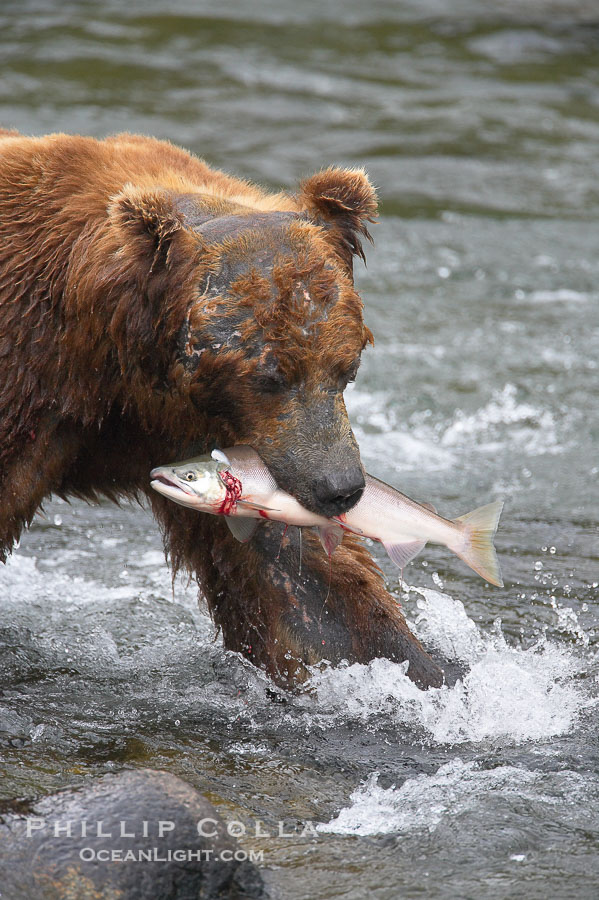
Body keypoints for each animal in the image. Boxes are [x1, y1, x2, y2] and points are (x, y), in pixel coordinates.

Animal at [0, 130, 443, 690]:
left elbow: (303, 592)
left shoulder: (218, 436)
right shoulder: (33, 377)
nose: (340, 488)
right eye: (271, 377)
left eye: (347, 368)